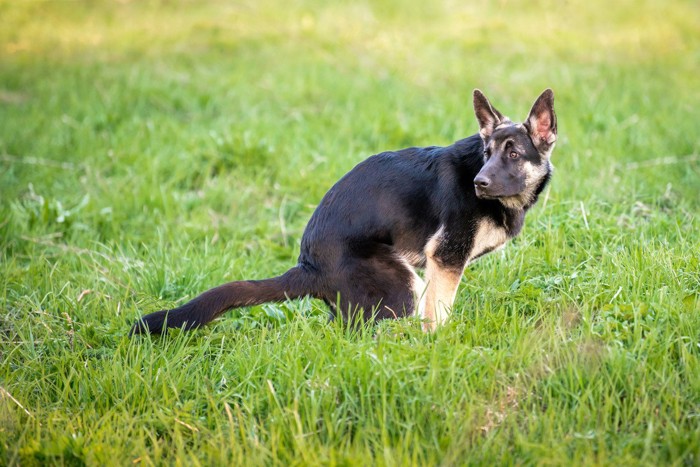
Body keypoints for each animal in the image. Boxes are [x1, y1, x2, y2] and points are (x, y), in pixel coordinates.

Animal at [131, 88, 556, 336]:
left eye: (513, 154)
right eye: (487, 153)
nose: (478, 183)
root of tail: (308, 266)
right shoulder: (445, 259)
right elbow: (439, 315)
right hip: (400, 285)